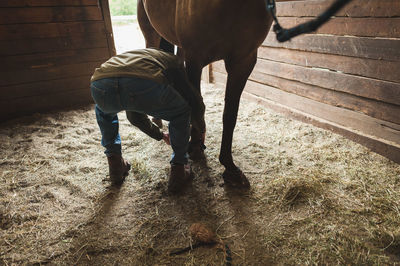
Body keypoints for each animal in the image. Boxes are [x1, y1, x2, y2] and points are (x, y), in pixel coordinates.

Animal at [137, 0, 272, 189]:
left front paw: (230, 168)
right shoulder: (195, 58)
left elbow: (230, 115)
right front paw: (194, 147)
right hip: (153, 35)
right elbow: (195, 103)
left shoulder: (243, 61)